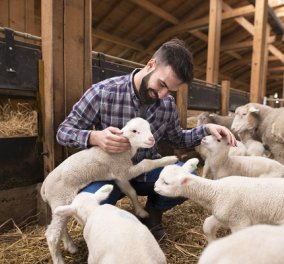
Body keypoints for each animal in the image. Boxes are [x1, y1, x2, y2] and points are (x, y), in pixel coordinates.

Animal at [40, 117, 178, 264]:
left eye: (149, 128)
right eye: (134, 131)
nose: (151, 139)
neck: (126, 151)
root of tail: (44, 187)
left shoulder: (119, 176)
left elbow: (131, 192)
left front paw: (140, 211)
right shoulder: (122, 170)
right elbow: (147, 163)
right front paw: (170, 159)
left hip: (63, 202)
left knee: (62, 224)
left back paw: (70, 246)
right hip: (60, 198)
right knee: (52, 234)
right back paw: (59, 258)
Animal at [154, 158, 284, 242]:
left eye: (166, 183)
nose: (154, 187)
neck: (216, 192)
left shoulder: (240, 221)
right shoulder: (224, 215)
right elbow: (207, 225)